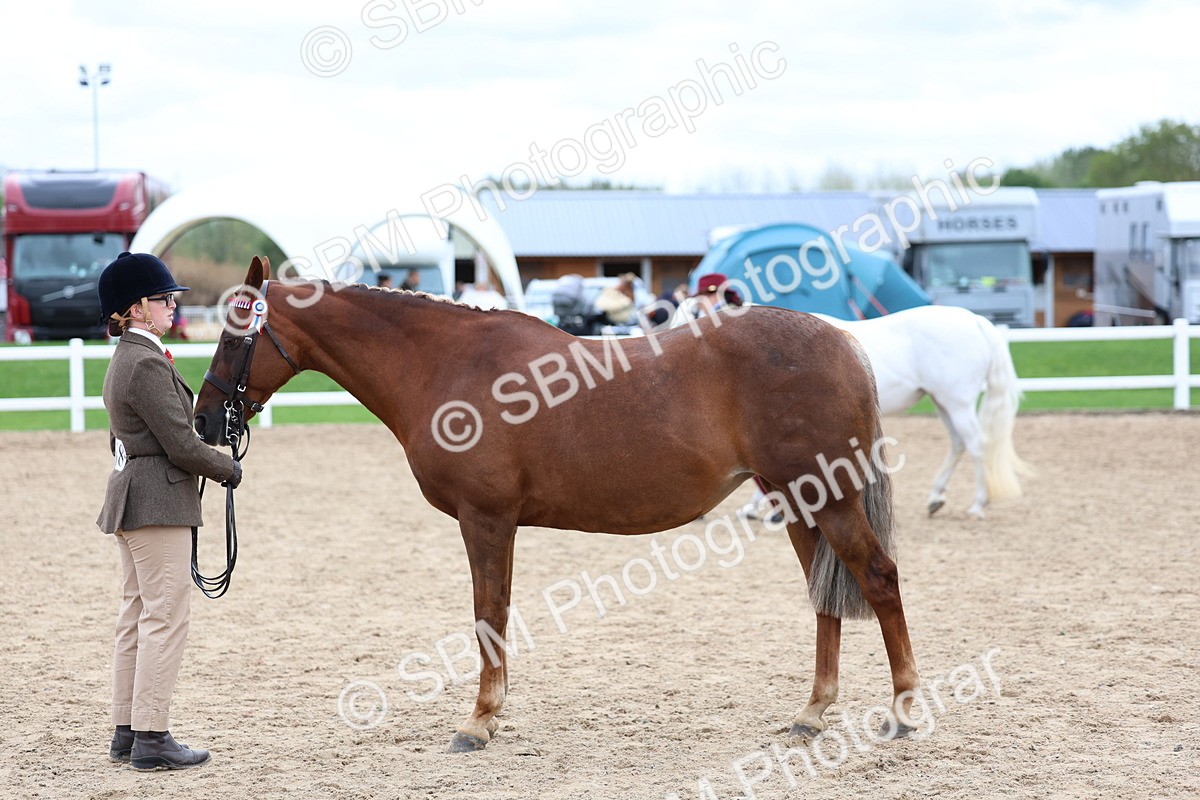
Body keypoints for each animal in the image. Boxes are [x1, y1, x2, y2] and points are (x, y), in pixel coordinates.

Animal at [194, 257, 920, 752]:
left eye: (233, 336)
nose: (202, 420)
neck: (446, 363)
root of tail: (841, 340)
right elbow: (495, 614)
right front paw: (490, 716)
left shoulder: (486, 520)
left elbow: (488, 613)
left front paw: (478, 722)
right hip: (797, 502)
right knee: (825, 596)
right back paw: (812, 713)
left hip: (829, 500)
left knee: (878, 579)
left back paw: (905, 712)